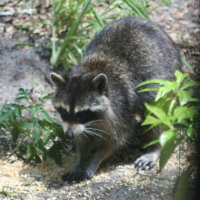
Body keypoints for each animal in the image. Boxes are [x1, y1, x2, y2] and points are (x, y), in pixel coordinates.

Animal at [50, 17, 181, 183]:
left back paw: (156, 147)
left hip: (165, 81)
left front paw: (94, 161)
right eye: (64, 112)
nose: (68, 136)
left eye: (81, 114)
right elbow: (82, 137)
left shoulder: (120, 107)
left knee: (156, 111)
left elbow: (114, 140)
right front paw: (79, 160)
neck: (88, 72)